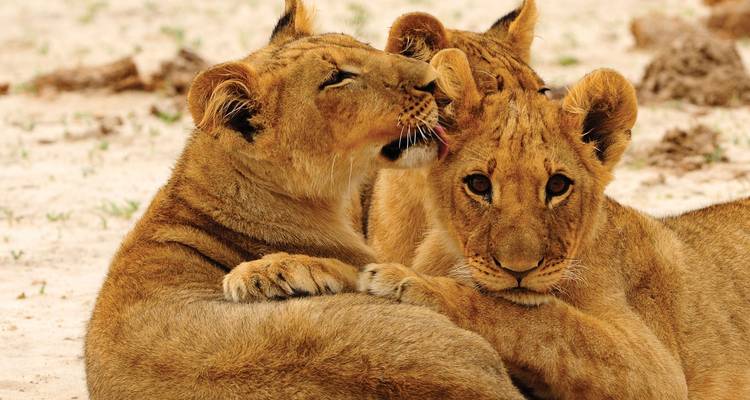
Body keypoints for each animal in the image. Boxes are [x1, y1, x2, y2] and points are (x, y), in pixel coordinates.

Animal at [360, 47, 750, 399]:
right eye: (479, 184)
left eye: (558, 186)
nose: (519, 269)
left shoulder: (657, 370)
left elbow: (542, 321)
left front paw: (406, 282)